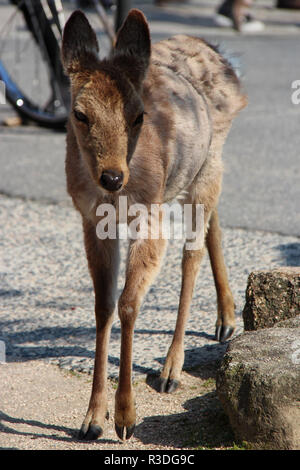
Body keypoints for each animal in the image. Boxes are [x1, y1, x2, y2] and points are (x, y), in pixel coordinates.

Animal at [62, 9, 247, 440]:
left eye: (138, 115)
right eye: (80, 113)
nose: (112, 177)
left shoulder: (149, 215)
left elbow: (129, 302)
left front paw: (125, 418)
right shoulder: (91, 219)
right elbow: (102, 304)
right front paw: (92, 419)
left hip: (207, 166)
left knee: (191, 254)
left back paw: (170, 369)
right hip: (197, 172)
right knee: (213, 223)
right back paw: (226, 319)